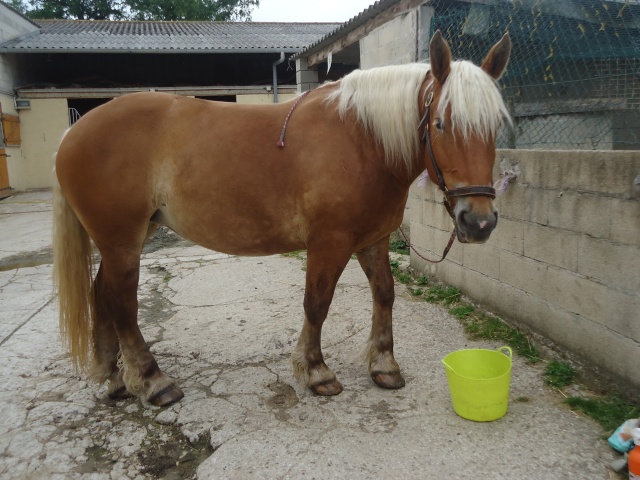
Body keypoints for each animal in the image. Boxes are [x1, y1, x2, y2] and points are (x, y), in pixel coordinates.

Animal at [53, 31, 516, 404]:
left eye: (495, 126)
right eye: (440, 123)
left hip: (125, 238)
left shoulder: (373, 238)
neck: (362, 140)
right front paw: (316, 372)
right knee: (122, 304)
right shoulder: (329, 242)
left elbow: (384, 294)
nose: (479, 222)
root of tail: (73, 131)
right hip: (121, 240)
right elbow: (317, 302)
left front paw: (383, 365)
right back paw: (152, 382)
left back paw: (115, 379)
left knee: (102, 295)